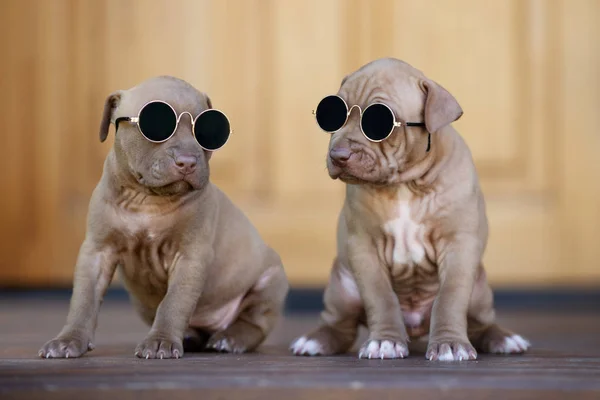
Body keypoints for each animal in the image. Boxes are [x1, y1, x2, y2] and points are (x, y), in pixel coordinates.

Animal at [39, 76, 288, 360]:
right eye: (156, 125)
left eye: (208, 132)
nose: (187, 162)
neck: (147, 200)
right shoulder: (97, 251)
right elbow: (83, 299)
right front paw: (68, 339)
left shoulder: (190, 257)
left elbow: (174, 302)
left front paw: (161, 341)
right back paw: (190, 336)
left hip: (270, 281)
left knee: (254, 322)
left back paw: (230, 339)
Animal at [290, 57, 528, 360]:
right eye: (332, 116)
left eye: (379, 123)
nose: (338, 155)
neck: (405, 184)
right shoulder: (365, 248)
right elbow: (381, 297)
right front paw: (385, 341)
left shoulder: (458, 246)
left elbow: (450, 298)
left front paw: (450, 344)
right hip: (341, 287)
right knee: (339, 325)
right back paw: (316, 340)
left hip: (479, 291)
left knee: (480, 323)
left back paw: (503, 338)